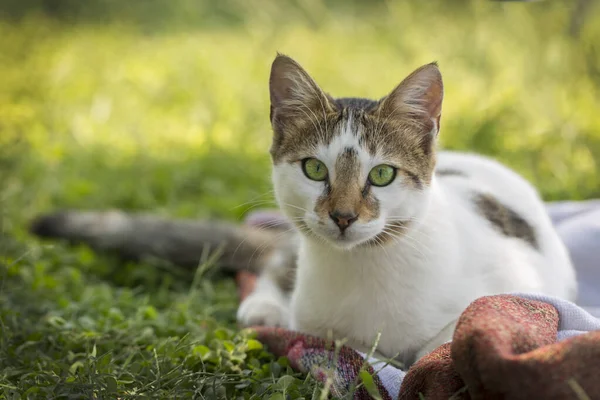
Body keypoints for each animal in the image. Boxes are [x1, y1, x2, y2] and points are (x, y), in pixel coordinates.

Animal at [30, 55, 580, 366]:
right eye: (315, 169)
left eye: (383, 175)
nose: (343, 216)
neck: (362, 269)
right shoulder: (317, 320)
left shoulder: (520, 287)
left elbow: (450, 336)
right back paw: (263, 307)